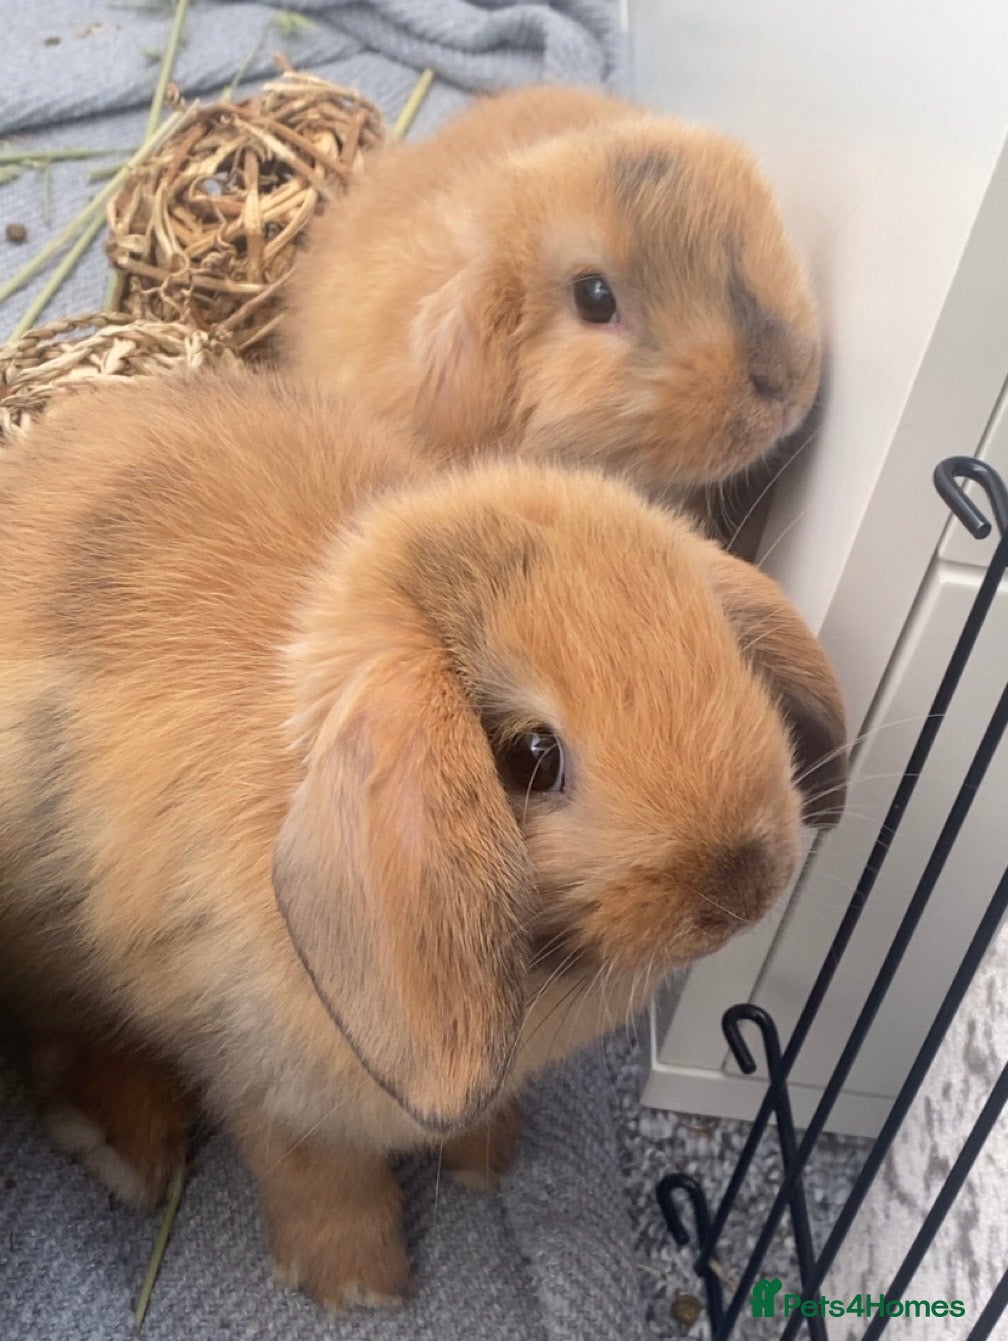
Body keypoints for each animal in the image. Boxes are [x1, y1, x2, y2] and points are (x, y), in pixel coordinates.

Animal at [0, 370, 845, 1310]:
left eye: (723, 651)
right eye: (531, 756)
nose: (743, 886)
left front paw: (487, 1159)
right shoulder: (269, 1078)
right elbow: (313, 1171)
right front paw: (359, 1284)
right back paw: (127, 1147)